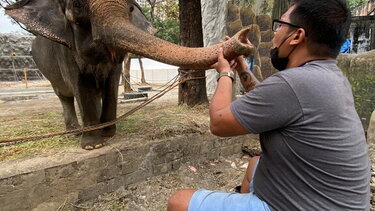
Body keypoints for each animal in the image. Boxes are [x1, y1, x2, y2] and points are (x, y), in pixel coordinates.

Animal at [5, 0, 256, 150]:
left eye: (131, 7)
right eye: (77, 6)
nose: (243, 37)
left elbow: (111, 82)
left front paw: (109, 133)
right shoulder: (64, 49)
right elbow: (81, 84)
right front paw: (92, 145)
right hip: (45, 68)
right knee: (65, 95)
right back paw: (73, 133)